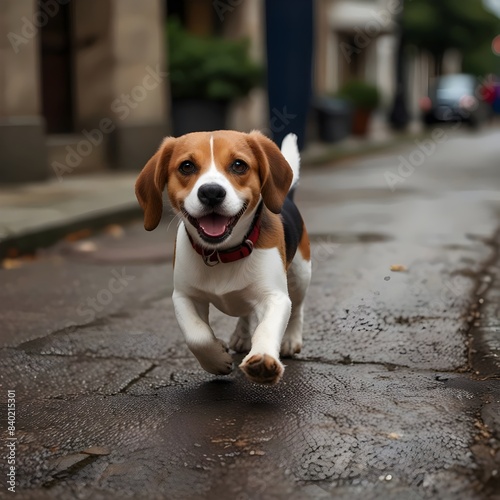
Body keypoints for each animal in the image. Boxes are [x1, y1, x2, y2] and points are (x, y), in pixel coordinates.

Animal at [135, 131, 310, 384]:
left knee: (297, 308)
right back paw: (241, 335)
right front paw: (216, 360)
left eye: (238, 165)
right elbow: (197, 336)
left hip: (300, 275)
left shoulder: (275, 297)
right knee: (245, 312)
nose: (211, 192)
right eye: (186, 166)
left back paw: (290, 339)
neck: (222, 253)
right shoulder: (184, 296)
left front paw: (263, 359)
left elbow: (267, 328)